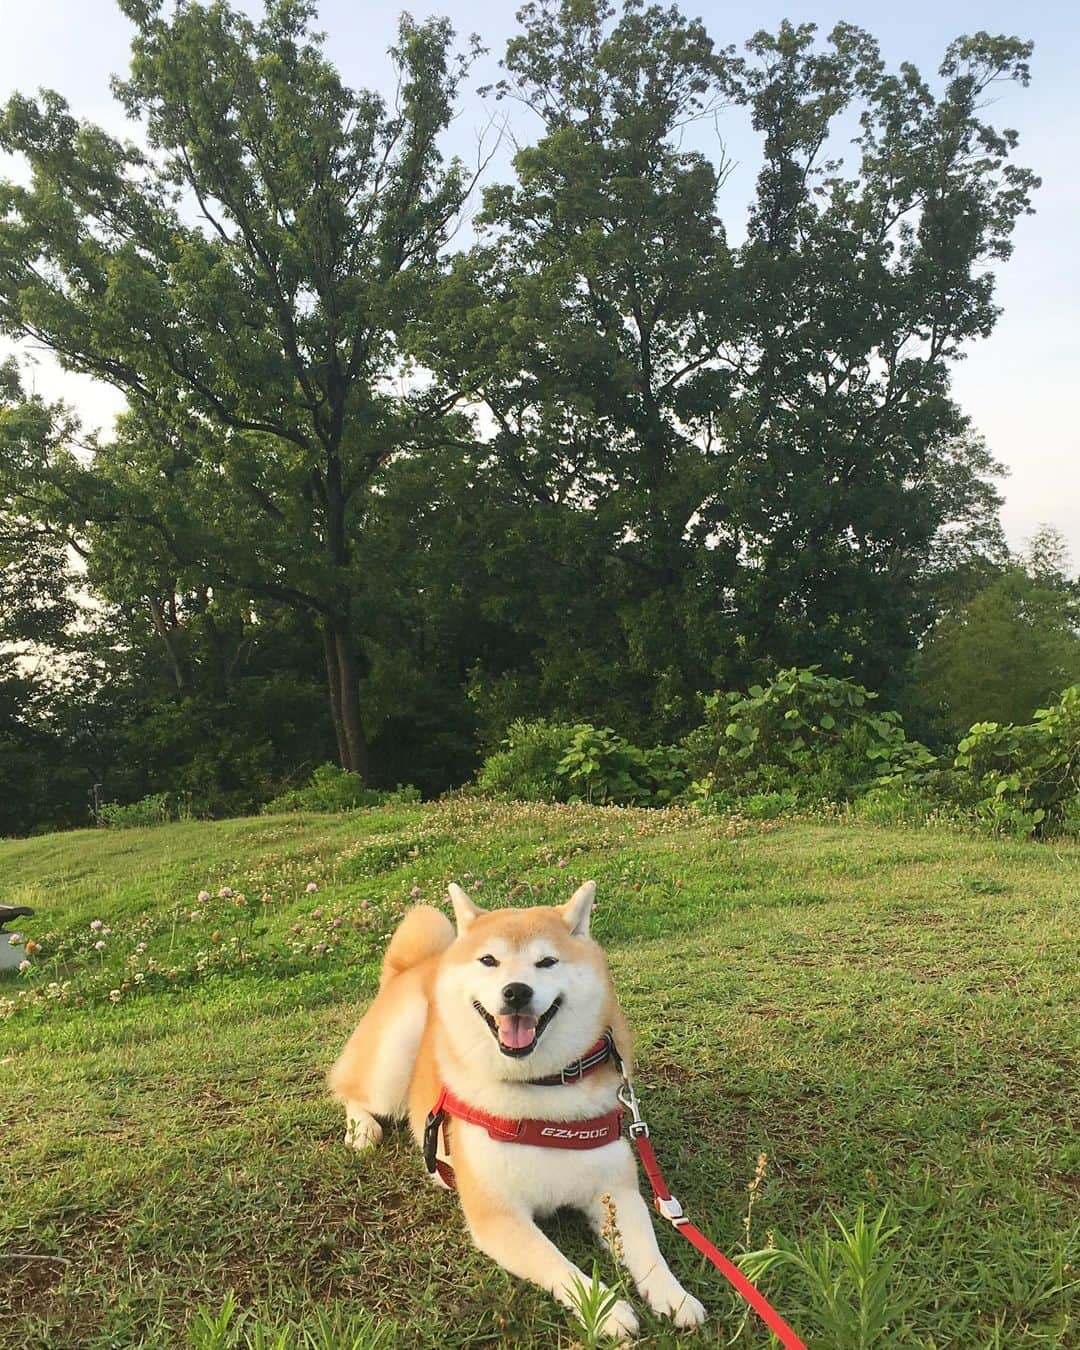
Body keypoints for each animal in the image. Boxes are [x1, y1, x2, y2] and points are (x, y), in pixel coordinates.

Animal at [325, 880, 702, 1333]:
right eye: (489, 960)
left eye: (547, 961)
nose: (517, 991)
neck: (539, 1093)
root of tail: (413, 966)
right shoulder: (497, 1214)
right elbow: (559, 1266)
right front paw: (605, 1309)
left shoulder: (616, 1191)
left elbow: (649, 1250)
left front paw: (675, 1296)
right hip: (395, 1055)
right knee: (351, 1091)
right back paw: (362, 1129)